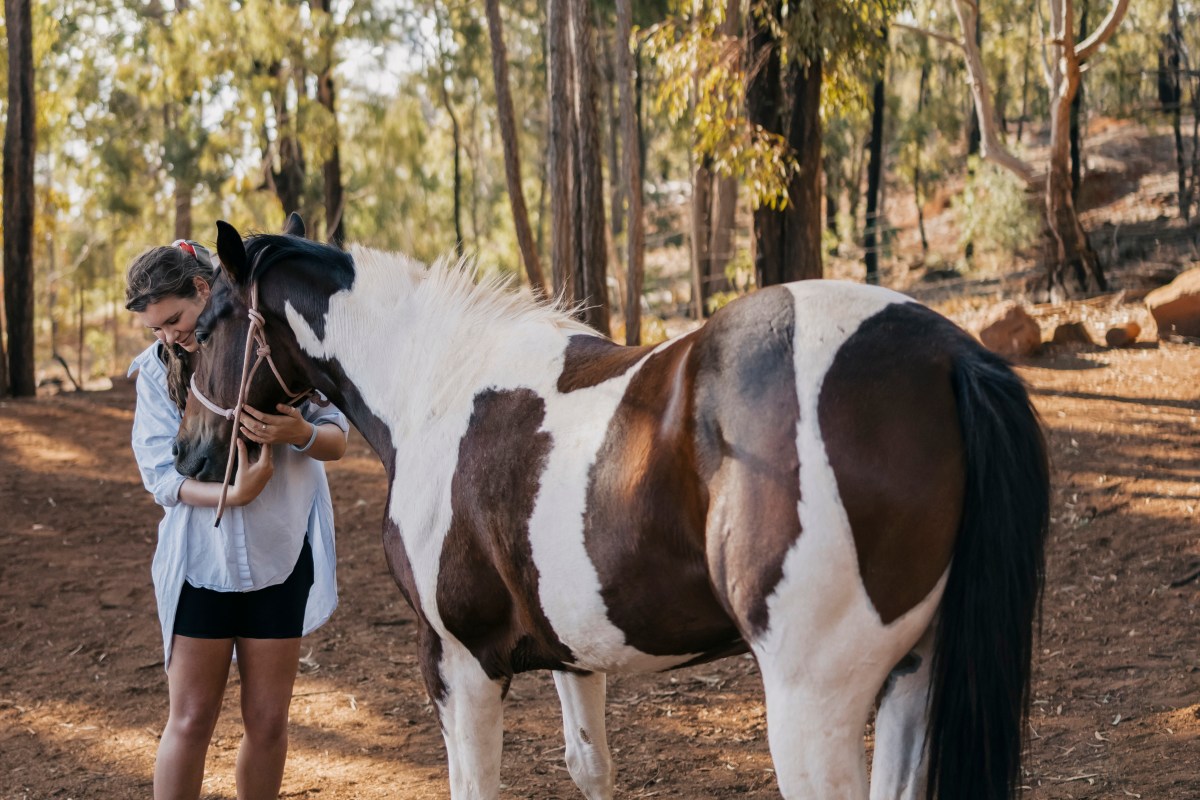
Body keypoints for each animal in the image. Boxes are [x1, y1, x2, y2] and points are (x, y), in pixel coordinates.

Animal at [174, 214, 1049, 800]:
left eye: (205, 329)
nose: (188, 455)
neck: (437, 385)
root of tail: (949, 356)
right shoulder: (573, 653)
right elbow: (590, 766)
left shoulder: (458, 662)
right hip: (911, 679)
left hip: (814, 703)